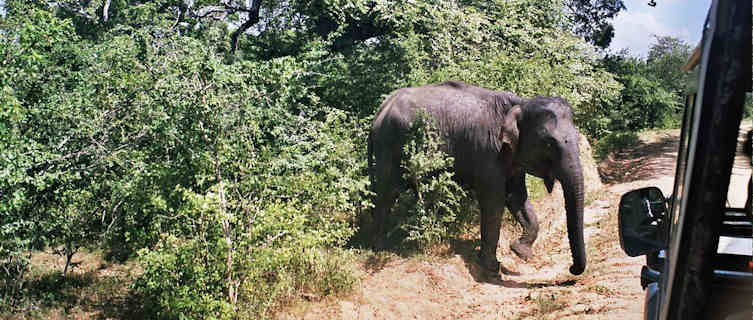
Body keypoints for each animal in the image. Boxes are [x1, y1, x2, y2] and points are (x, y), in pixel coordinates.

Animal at [368, 80, 588, 276]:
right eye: (549, 144)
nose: (571, 269)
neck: (519, 104)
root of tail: (380, 111)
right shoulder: (488, 152)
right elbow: (494, 202)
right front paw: (491, 268)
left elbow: (517, 197)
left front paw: (520, 251)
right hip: (390, 144)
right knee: (388, 192)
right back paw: (379, 247)